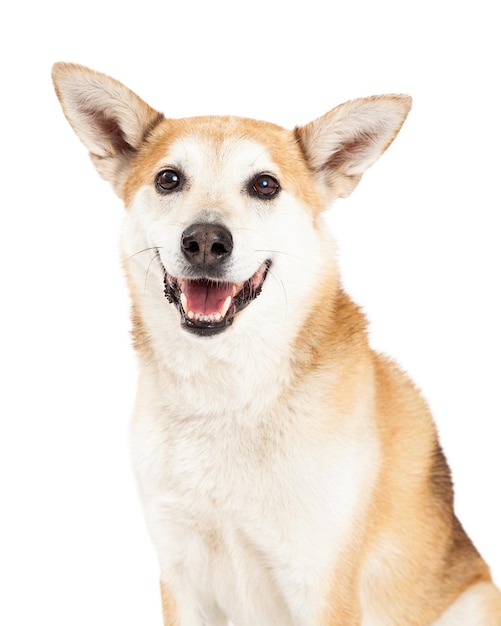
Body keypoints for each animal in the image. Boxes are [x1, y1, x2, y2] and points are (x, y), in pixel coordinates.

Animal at [51, 59, 500, 624]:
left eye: (265, 185)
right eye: (168, 179)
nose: (205, 241)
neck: (227, 396)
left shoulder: (321, 585)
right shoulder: (181, 576)